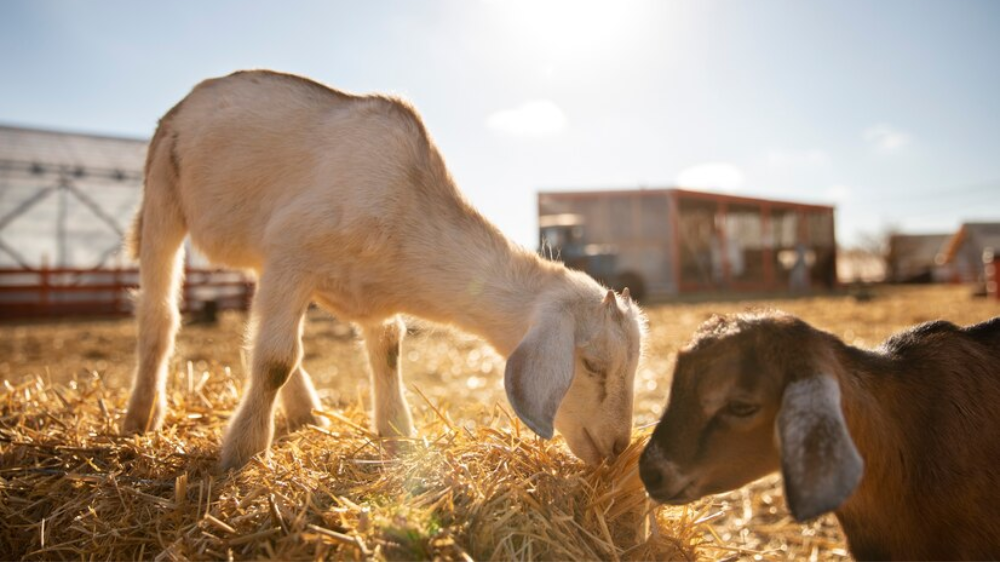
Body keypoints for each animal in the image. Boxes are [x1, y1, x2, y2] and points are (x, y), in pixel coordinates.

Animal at [123, 70, 648, 468]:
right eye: (592, 365)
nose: (617, 447)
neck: (405, 207)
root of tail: (188, 100)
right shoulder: (293, 254)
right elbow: (274, 359)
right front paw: (242, 450)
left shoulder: (355, 288)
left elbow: (387, 351)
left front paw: (398, 434)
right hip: (164, 190)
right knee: (160, 314)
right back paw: (140, 417)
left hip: (258, 251)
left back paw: (307, 412)